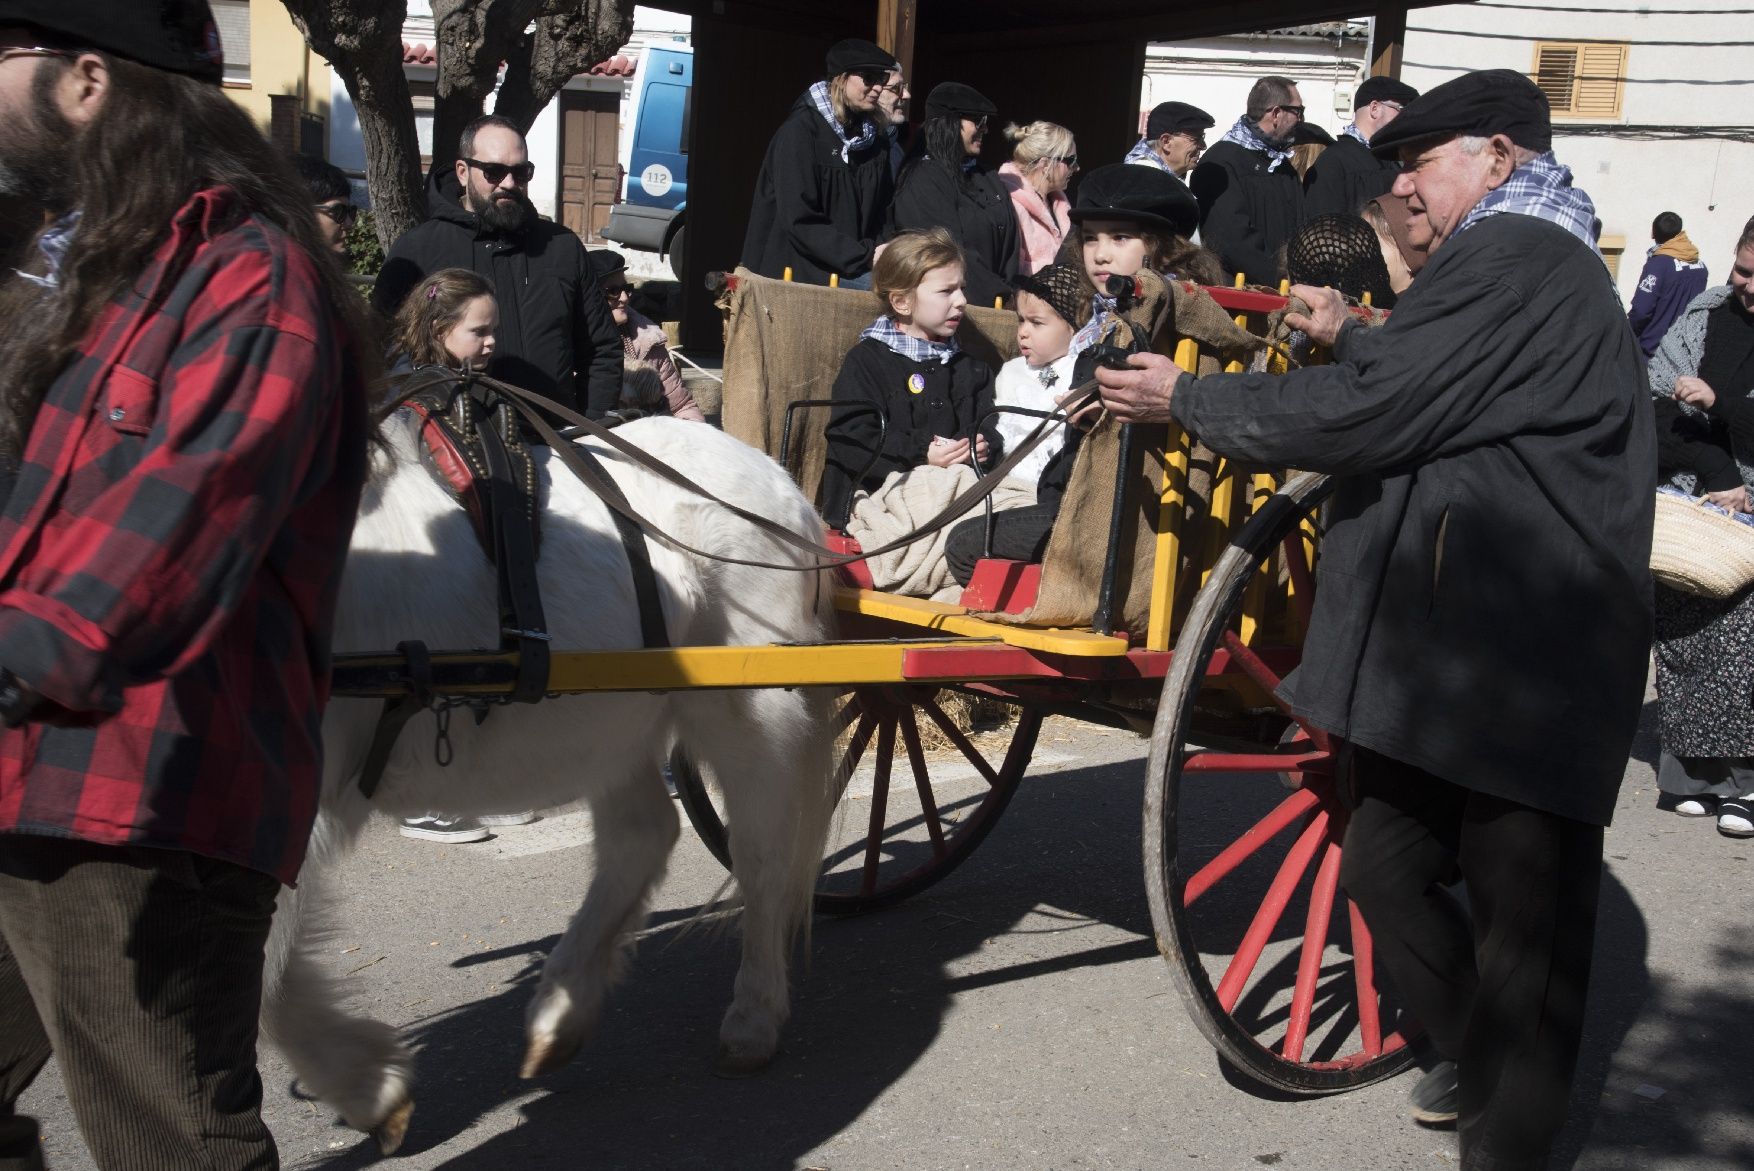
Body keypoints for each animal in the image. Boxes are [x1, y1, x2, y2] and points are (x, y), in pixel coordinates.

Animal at [257, 411, 834, 1149]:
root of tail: (775, 478)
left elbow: (264, 975)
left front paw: (367, 1086)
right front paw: (366, 1085)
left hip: (746, 708)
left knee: (760, 855)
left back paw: (752, 1016)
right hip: (615, 716)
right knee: (643, 834)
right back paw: (562, 1008)